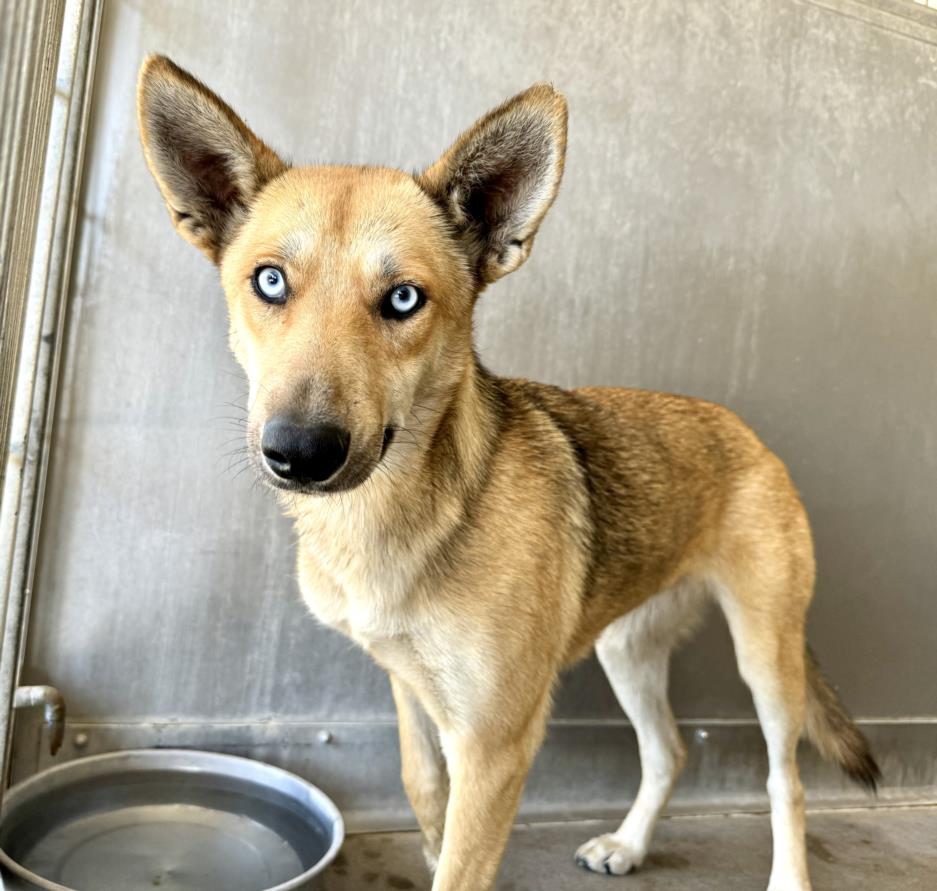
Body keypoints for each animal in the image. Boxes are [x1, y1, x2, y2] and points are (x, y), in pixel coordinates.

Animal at [137, 57, 876, 891]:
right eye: (269, 282)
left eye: (403, 298)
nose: (299, 452)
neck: (409, 512)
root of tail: (747, 432)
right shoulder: (410, 688)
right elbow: (422, 786)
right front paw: (429, 840)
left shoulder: (496, 742)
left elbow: (463, 857)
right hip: (627, 648)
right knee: (668, 750)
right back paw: (629, 843)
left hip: (766, 654)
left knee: (784, 776)